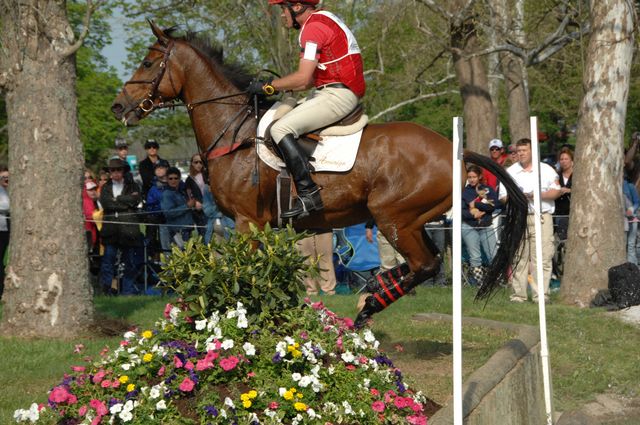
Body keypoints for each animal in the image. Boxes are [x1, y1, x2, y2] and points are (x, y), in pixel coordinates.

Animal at [112, 22, 528, 324]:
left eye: (148, 64)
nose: (119, 106)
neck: (234, 133)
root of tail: (455, 149)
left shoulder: (248, 223)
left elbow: (242, 273)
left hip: (392, 217)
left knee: (425, 263)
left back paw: (370, 302)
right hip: (413, 220)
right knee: (428, 262)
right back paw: (376, 287)